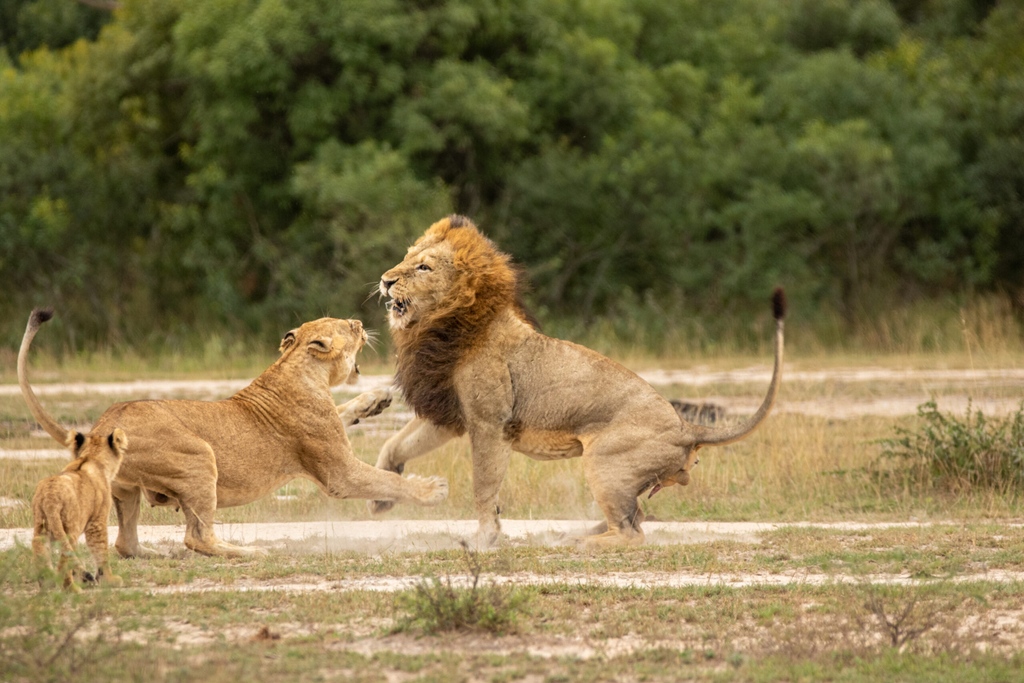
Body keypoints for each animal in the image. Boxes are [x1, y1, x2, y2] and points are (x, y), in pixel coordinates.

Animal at [18, 309, 448, 558]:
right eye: (347, 327)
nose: (361, 323)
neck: (299, 369)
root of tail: (101, 426)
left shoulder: (330, 429)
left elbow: (347, 412)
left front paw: (376, 400)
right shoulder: (337, 472)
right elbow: (386, 481)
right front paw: (431, 491)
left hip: (125, 489)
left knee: (126, 542)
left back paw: (155, 556)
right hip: (199, 458)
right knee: (197, 538)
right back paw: (251, 552)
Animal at [32, 427, 128, 591]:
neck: (91, 457)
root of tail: (50, 498)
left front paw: (84, 578)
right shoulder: (97, 522)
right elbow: (101, 550)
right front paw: (109, 580)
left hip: (41, 528)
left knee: (41, 552)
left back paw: (47, 585)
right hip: (71, 527)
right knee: (65, 557)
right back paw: (71, 589)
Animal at [369, 215, 784, 548]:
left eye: (423, 267)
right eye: (407, 257)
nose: (385, 280)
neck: (440, 325)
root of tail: (686, 427)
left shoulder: (489, 423)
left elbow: (483, 486)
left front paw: (485, 538)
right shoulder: (451, 414)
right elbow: (394, 444)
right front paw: (381, 497)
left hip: (604, 462)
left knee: (632, 533)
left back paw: (575, 542)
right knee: (637, 518)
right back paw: (574, 533)